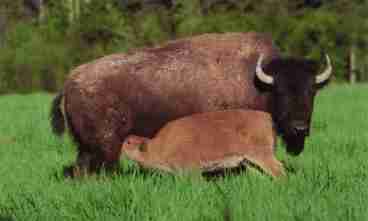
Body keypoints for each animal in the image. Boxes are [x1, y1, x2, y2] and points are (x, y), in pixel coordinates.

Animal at [121, 109, 284, 177]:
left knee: (278, 169)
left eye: (129, 142)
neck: (158, 146)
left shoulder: (190, 169)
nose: (122, 143)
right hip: (247, 160)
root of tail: (268, 117)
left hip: (261, 155)